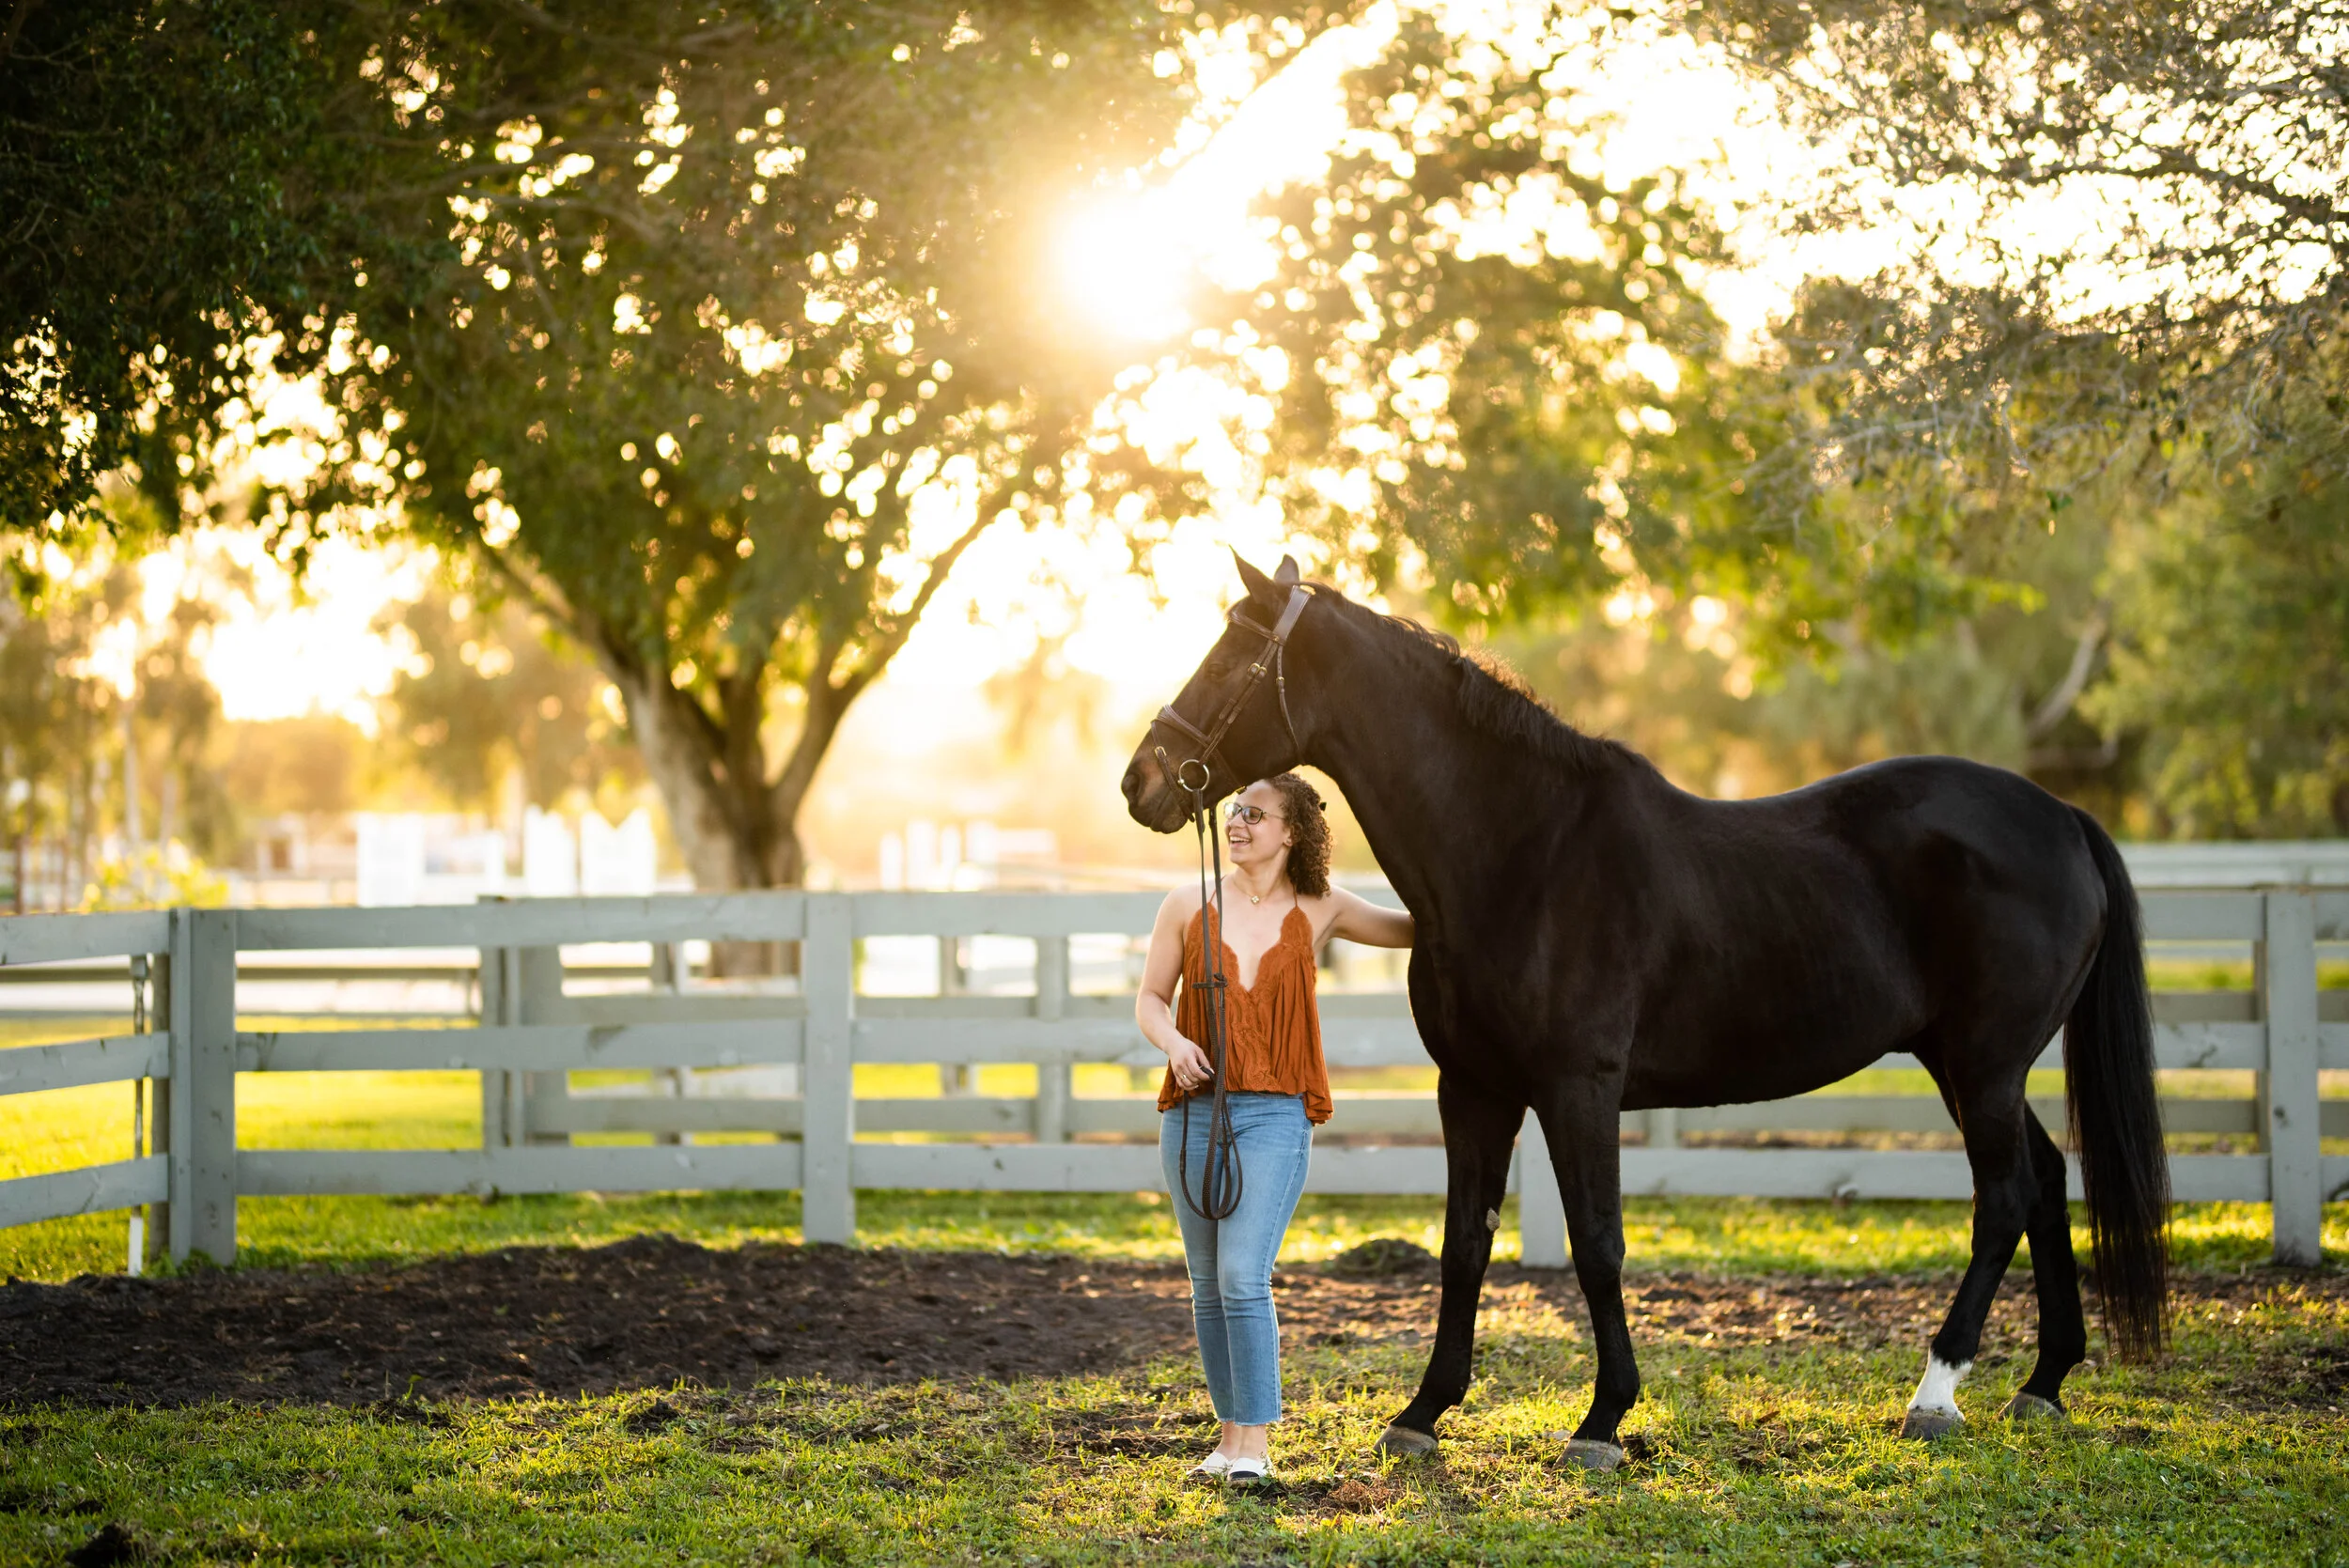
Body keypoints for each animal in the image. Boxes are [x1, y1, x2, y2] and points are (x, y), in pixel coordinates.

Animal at [1121, 553, 2169, 1470]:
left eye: (1232, 655)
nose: (1141, 781)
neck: (1523, 852)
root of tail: (2062, 817)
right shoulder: (1474, 1089)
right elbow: (1464, 1245)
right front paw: (1423, 1413)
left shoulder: (1577, 1089)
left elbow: (1597, 1244)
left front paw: (1602, 1420)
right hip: (1965, 1063)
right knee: (2045, 1176)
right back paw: (2043, 1381)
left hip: (1983, 1063)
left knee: (2003, 1196)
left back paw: (1936, 1392)